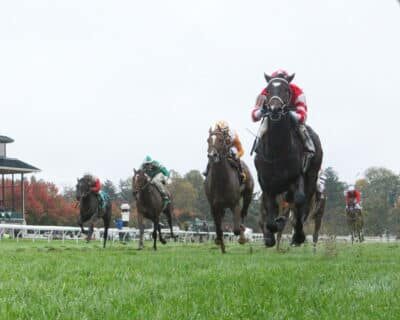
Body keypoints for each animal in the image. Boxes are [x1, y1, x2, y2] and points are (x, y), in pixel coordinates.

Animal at [205, 126, 255, 254]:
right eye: (208, 140)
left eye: (220, 140)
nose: (212, 155)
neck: (221, 181)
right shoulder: (214, 206)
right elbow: (219, 229)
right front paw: (221, 245)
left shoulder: (235, 204)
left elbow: (236, 229)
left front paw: (242, 236)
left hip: (248, 195)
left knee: (243, 213)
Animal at [255, 74, 324, 248]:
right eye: (268, 90)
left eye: (286, 90)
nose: (275, 109)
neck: (277, 149)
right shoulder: (266, 183)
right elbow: (269, 208)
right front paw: (270, 234)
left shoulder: (296, 177)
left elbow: (299, 200)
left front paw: (298, 235)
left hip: (311, 176)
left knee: (303, 203)